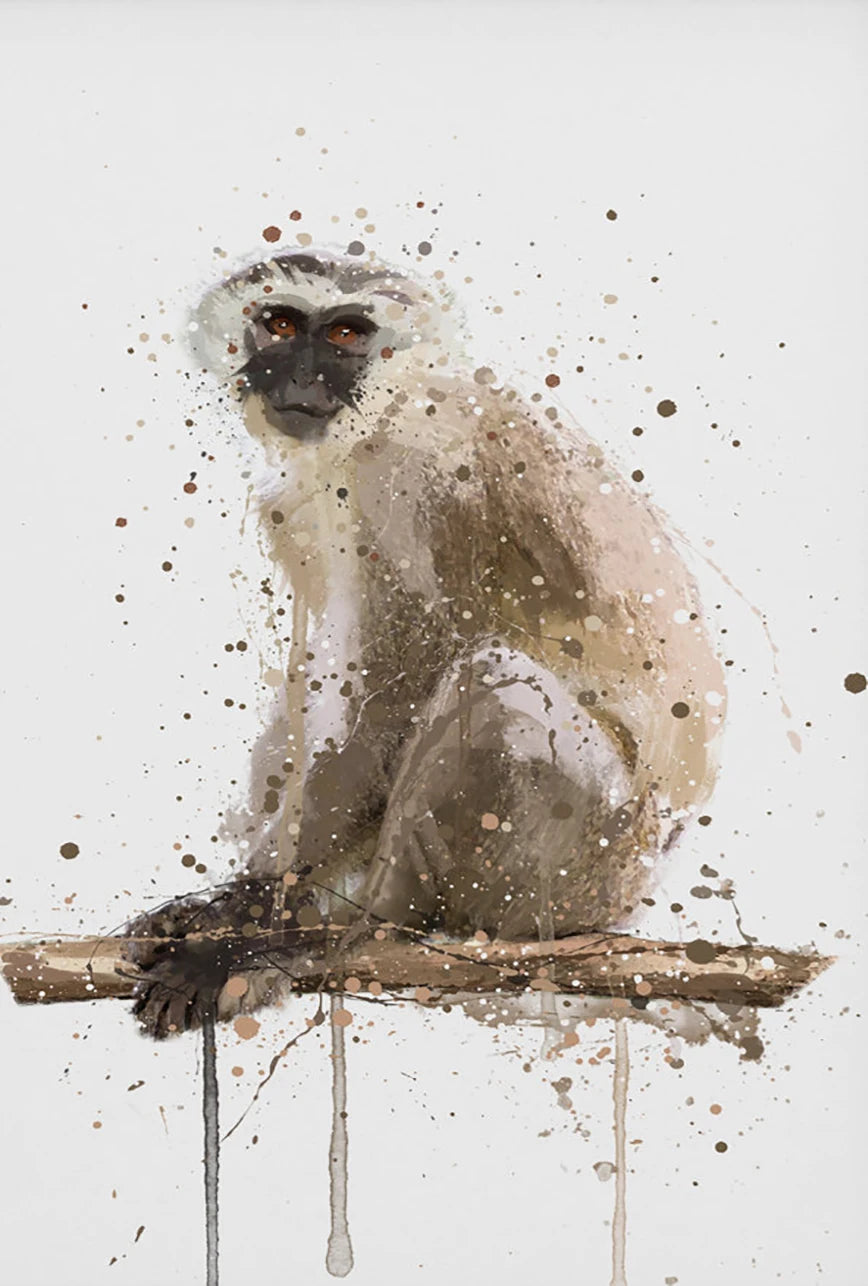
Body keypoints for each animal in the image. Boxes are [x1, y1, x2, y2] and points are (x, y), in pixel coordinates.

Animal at [125, 248, 726, 1038]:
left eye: (347, 334)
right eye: (280, 324)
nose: (301, 377)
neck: (394, 405)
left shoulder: (414, 479)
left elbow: (395, 698)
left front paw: (253, 928)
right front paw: (231, 905)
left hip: (586, 865)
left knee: (493, 684)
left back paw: (353, 936)